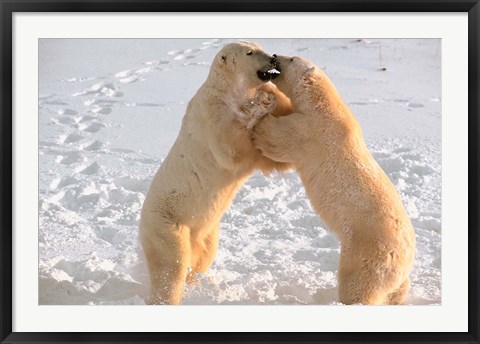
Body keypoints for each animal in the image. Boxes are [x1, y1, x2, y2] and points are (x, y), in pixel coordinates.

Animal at [139, 42, 292, 304]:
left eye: (259, 46)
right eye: (250, 52)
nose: (273, 58)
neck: (227, 91)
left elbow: (272, 157)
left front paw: (271, 98)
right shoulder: (211, 115)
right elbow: (231, 149)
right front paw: (259, 106)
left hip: (207, 231)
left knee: (203, 256)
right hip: (167, 222)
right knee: (172, 262)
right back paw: (167, 296)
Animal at [253, 55, 414, 306]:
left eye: (291, 59)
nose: (276, 56)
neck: (323, 104)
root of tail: (405, 258)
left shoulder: (310, 131)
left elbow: (279, 138)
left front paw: (262, 110)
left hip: (366, 254)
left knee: (358, 286)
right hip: (395, 274)